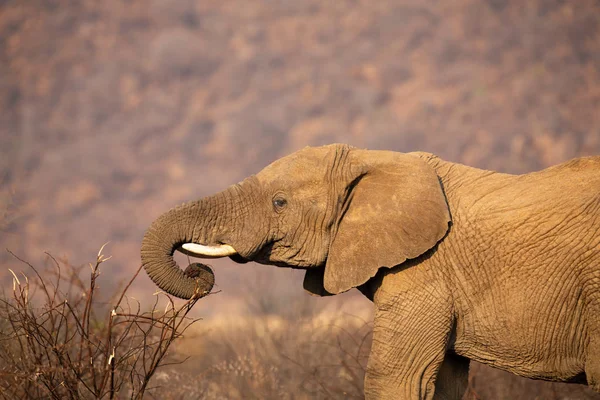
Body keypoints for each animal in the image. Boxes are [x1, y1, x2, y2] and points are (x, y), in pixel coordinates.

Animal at [142, 145, 600, 400]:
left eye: (279, 202)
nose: (198, 271)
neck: (374, 160)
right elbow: (443, 382)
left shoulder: (425, 271)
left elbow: (396, 378)